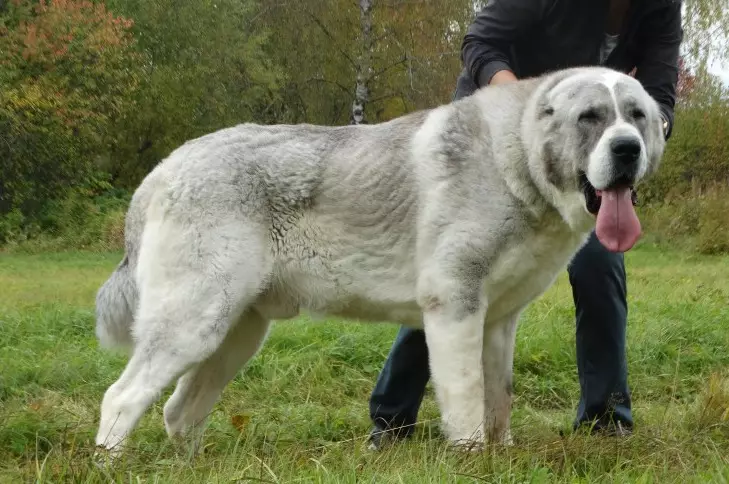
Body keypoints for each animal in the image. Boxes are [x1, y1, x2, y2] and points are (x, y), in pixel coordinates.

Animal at [92, 66, 664, 456]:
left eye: (636, 117)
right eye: (590, 118)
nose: (627, 149)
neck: (514, 162)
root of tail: (163, 169)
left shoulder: (498, 322)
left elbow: (498, 399)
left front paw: (499, 456)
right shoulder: (455, 306)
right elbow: (467, 399)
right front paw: (472, 459)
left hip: (235, 333)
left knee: (178, 411)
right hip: (194, 323)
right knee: (121, 398)